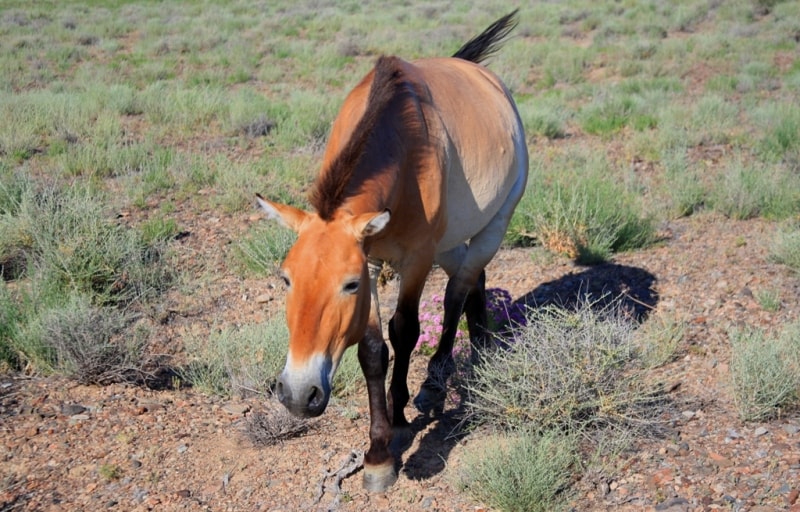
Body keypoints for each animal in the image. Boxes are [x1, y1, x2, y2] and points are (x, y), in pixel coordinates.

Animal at [256, 11, 528, 492]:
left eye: (348, 286)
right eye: (285, 278)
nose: (298, 394)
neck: (404, 149)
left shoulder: (414, 259)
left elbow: (404, 331)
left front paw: (398, 423)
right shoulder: (371, 257)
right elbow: (372, 351)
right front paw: (378, 454)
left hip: (496, 221)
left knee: (458, 290)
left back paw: (436, 381)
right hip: (453, 239)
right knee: (471, 279)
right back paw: (481, 347)